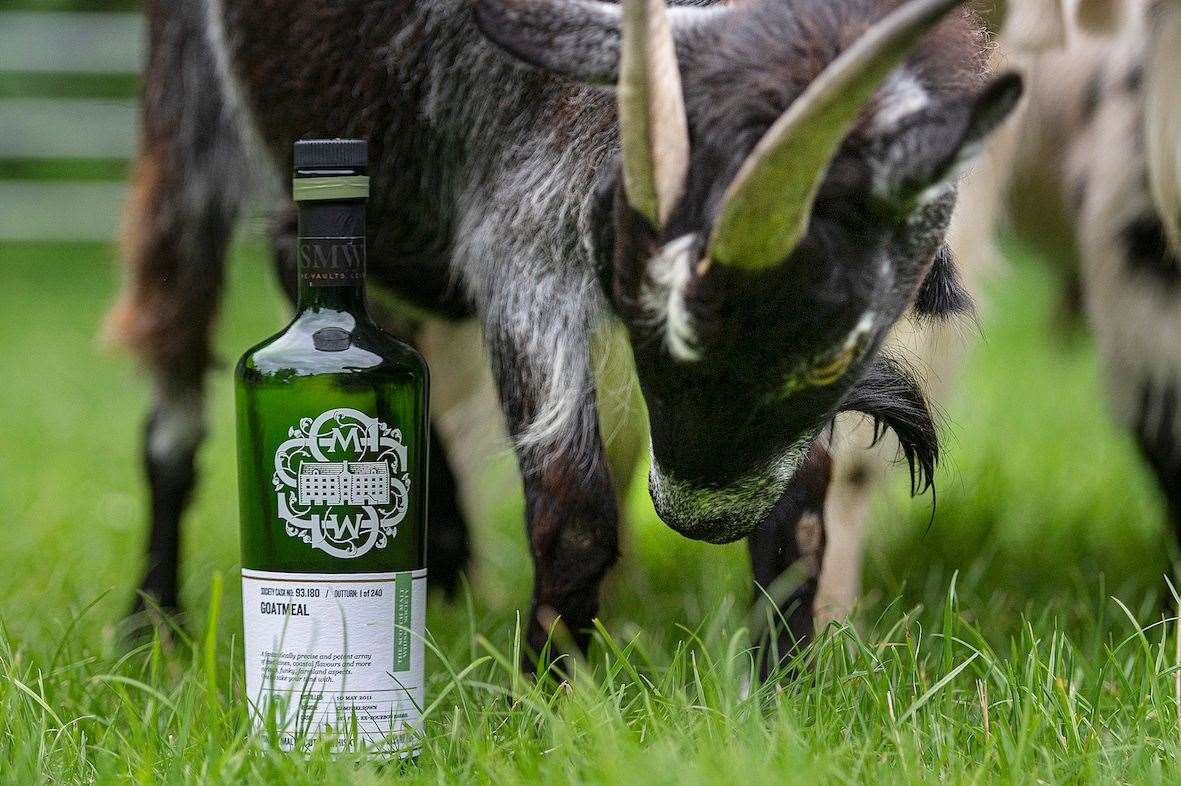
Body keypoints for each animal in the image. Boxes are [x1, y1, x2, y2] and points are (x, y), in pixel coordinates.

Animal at [106, 0, 1020, 665]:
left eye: (834, 346)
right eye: (630, 292)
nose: (696, 515)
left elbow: (796, 519)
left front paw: (780, 695)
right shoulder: (524, 235)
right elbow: (574, 512)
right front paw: (547, 699)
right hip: (185, 116)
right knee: (175, 392)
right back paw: (151, 627)